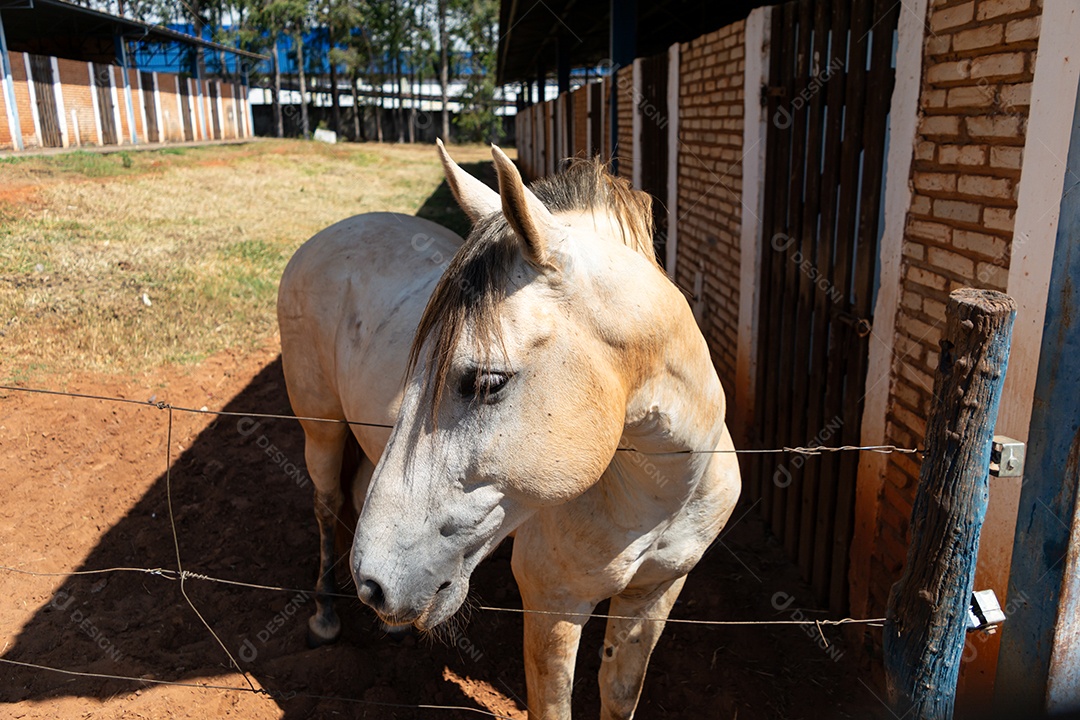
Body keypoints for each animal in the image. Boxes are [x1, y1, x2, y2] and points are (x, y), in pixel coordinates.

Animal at [277, 141, 742, 719]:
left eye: (486, 382)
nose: (374, 585)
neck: (659, 494)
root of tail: (335, 231)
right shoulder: (552, 608)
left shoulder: (656, 594)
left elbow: (619, 695)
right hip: (320, 427)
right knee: (326, 504)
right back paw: (324, 616)